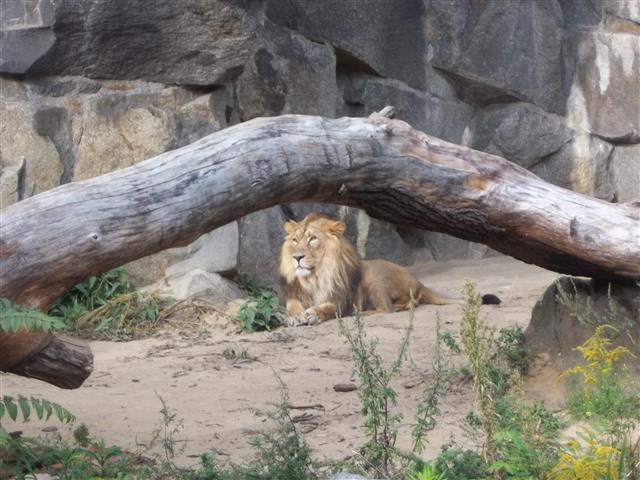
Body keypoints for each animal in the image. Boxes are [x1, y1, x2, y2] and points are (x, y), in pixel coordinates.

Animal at [278, 213, 456, 326]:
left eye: (313, 239)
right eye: (295, 240)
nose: (297, 257)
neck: (314, 278)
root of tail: (417, 281)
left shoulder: (342, 301)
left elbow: (329, 308)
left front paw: (314, 314)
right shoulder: (294, 296)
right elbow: (293, 306)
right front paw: (295, 316)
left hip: (375, 279)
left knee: (388, 309)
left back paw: (362, 314)